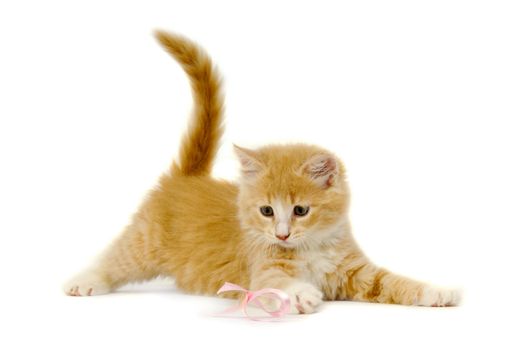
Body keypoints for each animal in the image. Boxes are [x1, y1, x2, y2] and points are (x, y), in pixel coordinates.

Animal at [65, 31, 462, 314]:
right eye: (267, 211)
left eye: (300, 210)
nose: (282, 234)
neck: (311, 246)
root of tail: (188, 177)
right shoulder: (264, 268)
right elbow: (277, 284)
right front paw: (301, 295)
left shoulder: (358, 274)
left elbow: (396, 282)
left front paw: (437, 291)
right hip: (145, 241)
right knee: (116, 259)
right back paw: (84, 282)